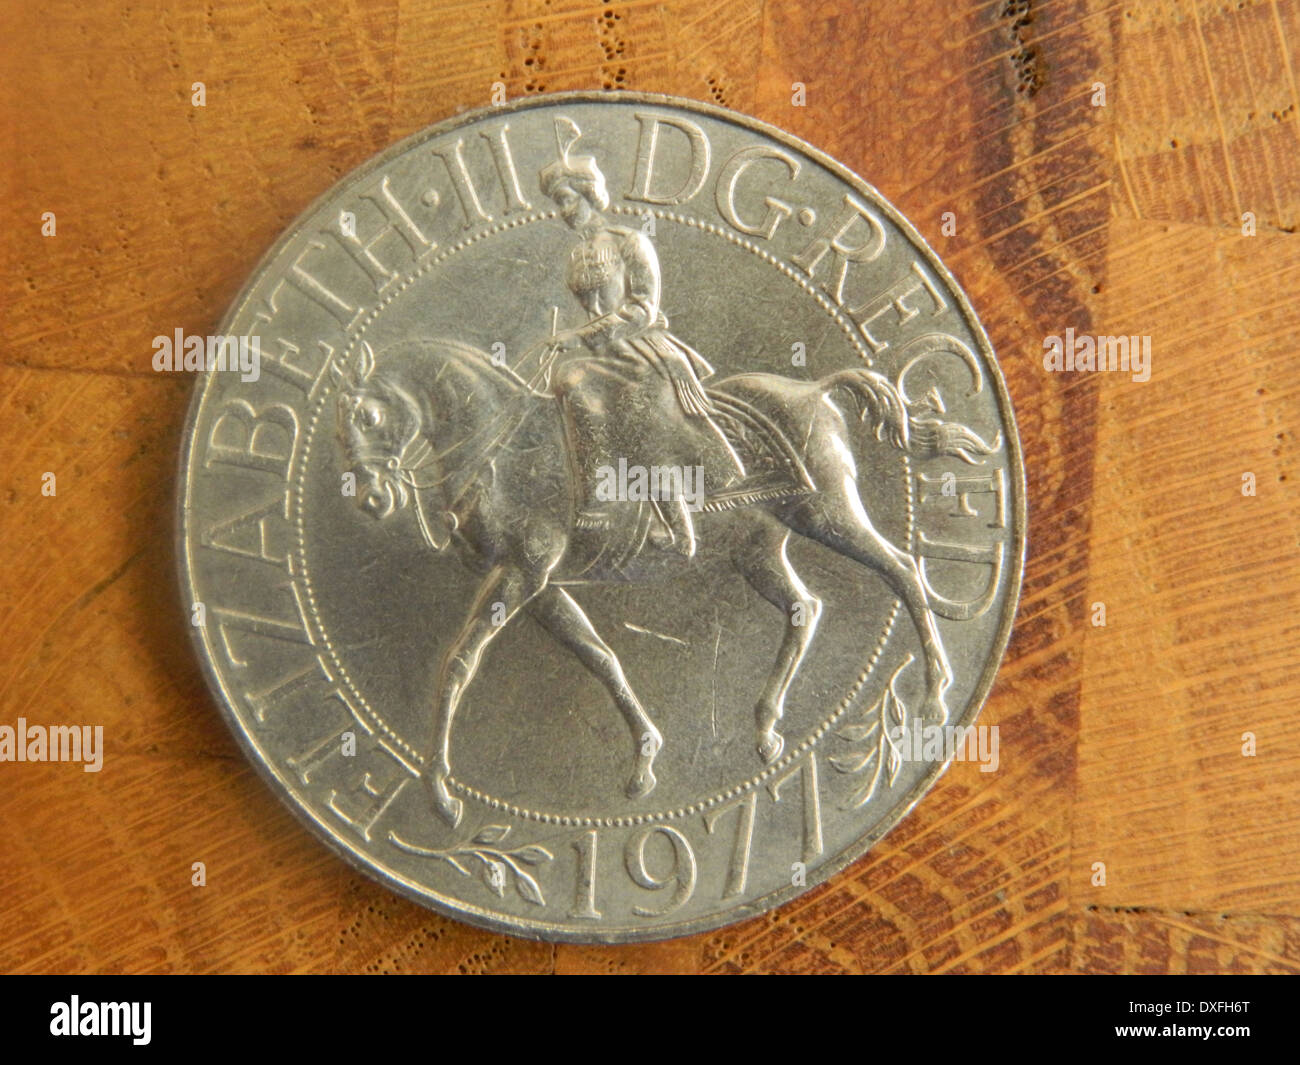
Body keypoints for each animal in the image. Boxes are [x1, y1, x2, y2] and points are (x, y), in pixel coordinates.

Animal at [335, 338, 993, 827]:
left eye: (368, 415)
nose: (370, 500)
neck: (503, 448)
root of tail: (816, 390)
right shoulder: (542, 586)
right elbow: (599, 657)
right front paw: (644, 759)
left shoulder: (522, 574)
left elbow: (458, 665)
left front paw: (441, 795)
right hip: (759, 549)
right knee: (805, 607)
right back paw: (765, 728)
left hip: (828, 515)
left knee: (902, 570)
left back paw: (935, 692)